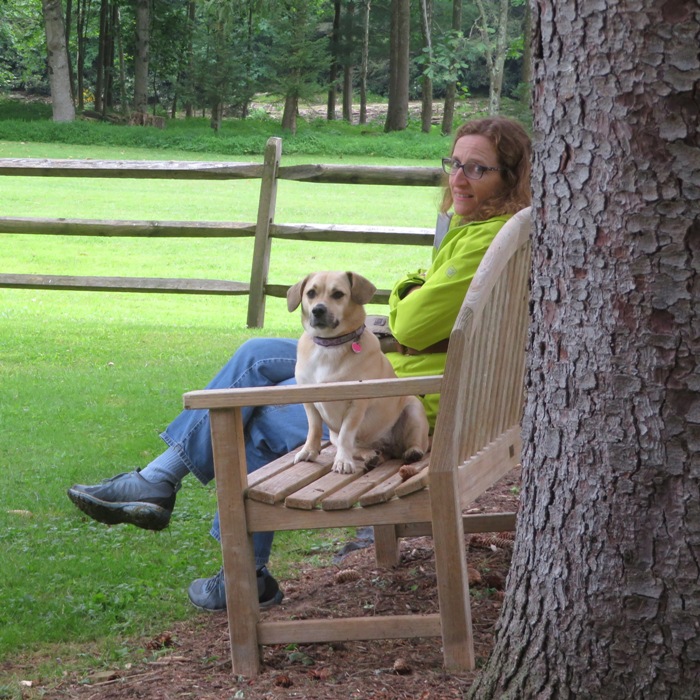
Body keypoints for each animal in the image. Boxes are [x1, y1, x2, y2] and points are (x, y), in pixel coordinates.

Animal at [288, 270, 430, 474]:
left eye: (338, 294)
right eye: (311, 293)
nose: (318, 310)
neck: (330, 346)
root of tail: (387, 446)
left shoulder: (356, 405)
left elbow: (346, 434)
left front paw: (342, 461)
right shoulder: (309, 403)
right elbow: (314, 429)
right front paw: (309, 451)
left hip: (413, 410)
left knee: (417, 444)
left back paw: (413, 451)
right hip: (340, 438)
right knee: (361, 448)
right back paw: (371, 456)